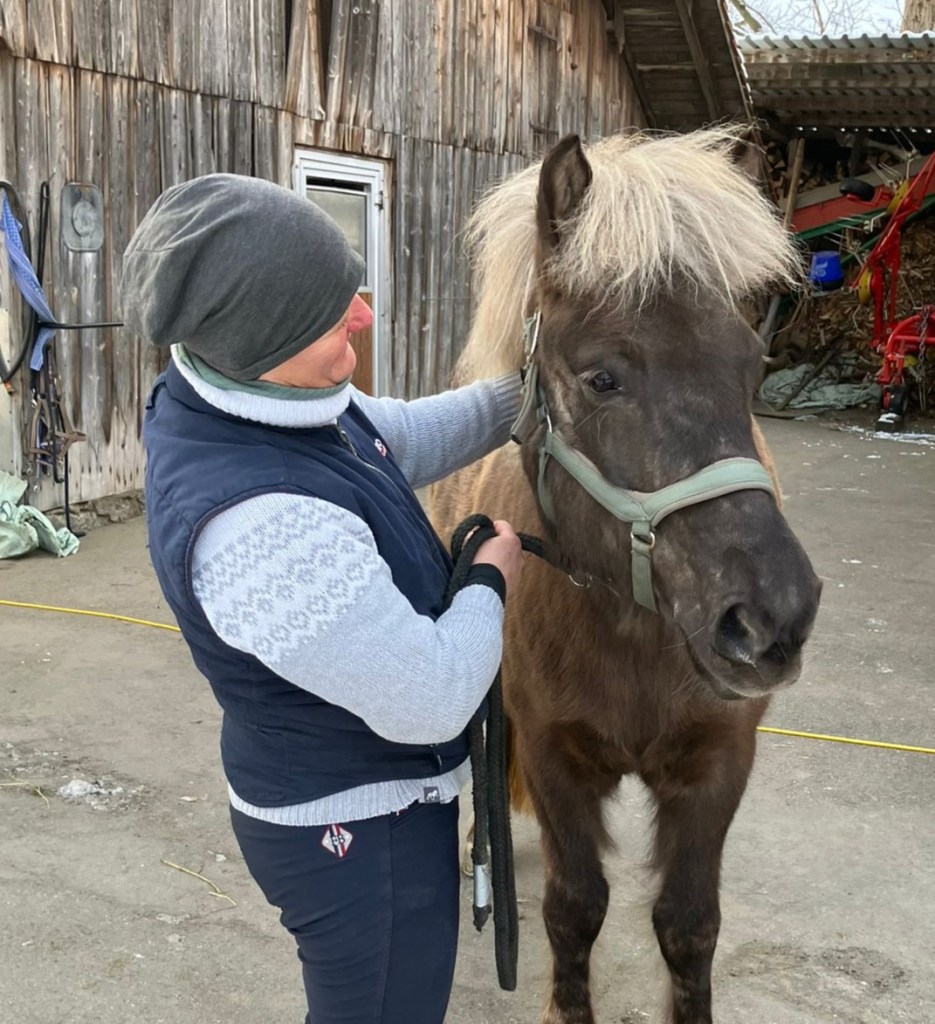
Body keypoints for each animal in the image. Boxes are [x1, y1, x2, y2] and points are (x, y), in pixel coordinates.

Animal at [430, 128, 822, 1024]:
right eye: (601, 376)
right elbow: (575, 909)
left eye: (749, 368)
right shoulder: (554, 756)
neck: (636, 637)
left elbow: (687, 922)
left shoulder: (716, 765)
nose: (771, 618)